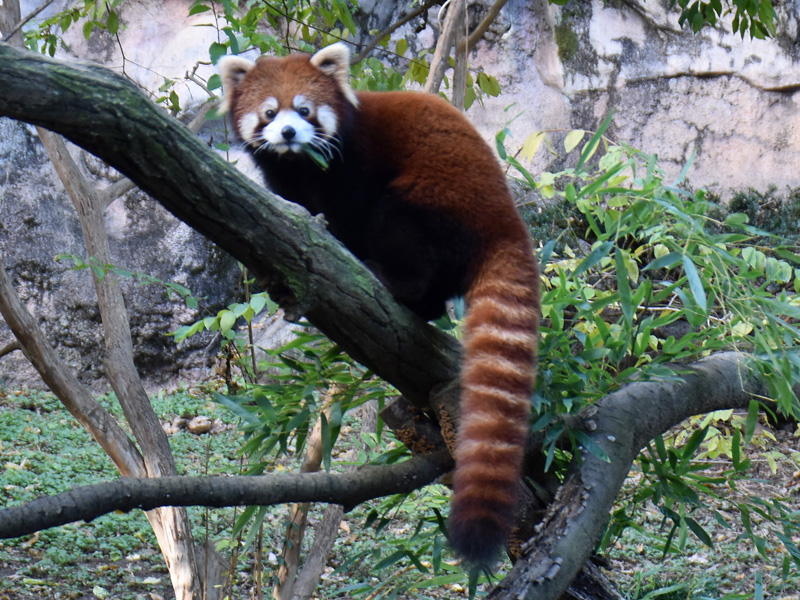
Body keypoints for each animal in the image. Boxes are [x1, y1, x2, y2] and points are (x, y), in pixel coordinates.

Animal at [222, 43, 540, 568]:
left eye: (304, 110)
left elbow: (349, 209)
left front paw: (333, 243)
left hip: (435, 194)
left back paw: (386, 277)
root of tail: (506, 223)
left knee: (399, 224)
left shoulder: (355, 162)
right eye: (270, 112)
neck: (301, 165)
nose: (288, 132)